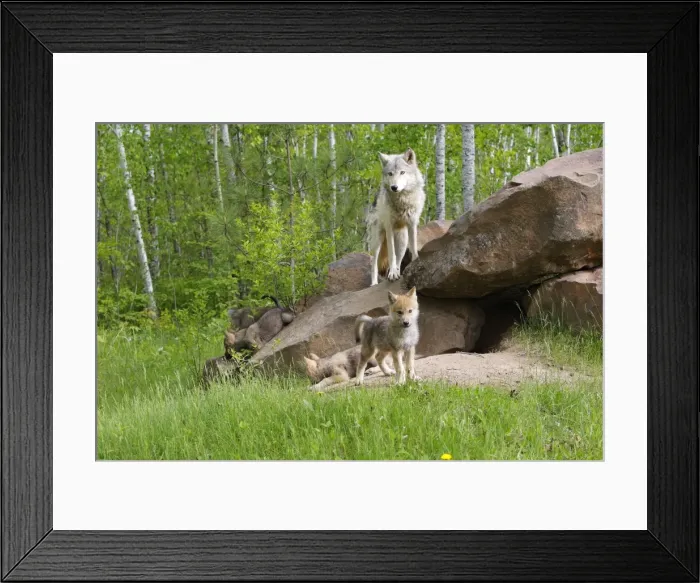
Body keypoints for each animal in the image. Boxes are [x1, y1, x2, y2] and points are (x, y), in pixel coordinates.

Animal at [367, 148, 426, 286]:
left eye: (402, 172)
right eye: (390, 174)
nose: (394, 187)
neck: (402, 200)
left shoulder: (412, 224)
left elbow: (414, 247)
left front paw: (415, 264)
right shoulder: (389, 228)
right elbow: (391, 254)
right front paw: (393, 274)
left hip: (402, 241)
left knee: (399, 259)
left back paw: (398, 272)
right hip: (378, 239)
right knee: (374, 264)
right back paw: (374, 283)